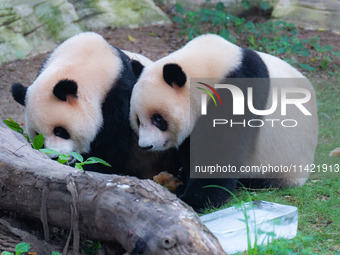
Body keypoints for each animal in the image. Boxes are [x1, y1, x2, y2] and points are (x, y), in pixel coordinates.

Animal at [130, 33, 318, 211]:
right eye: (138, 120)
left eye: (158, 119)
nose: (146, 145)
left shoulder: (238, 90)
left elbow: (222, 147)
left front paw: (193, 199)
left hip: (281, 162)